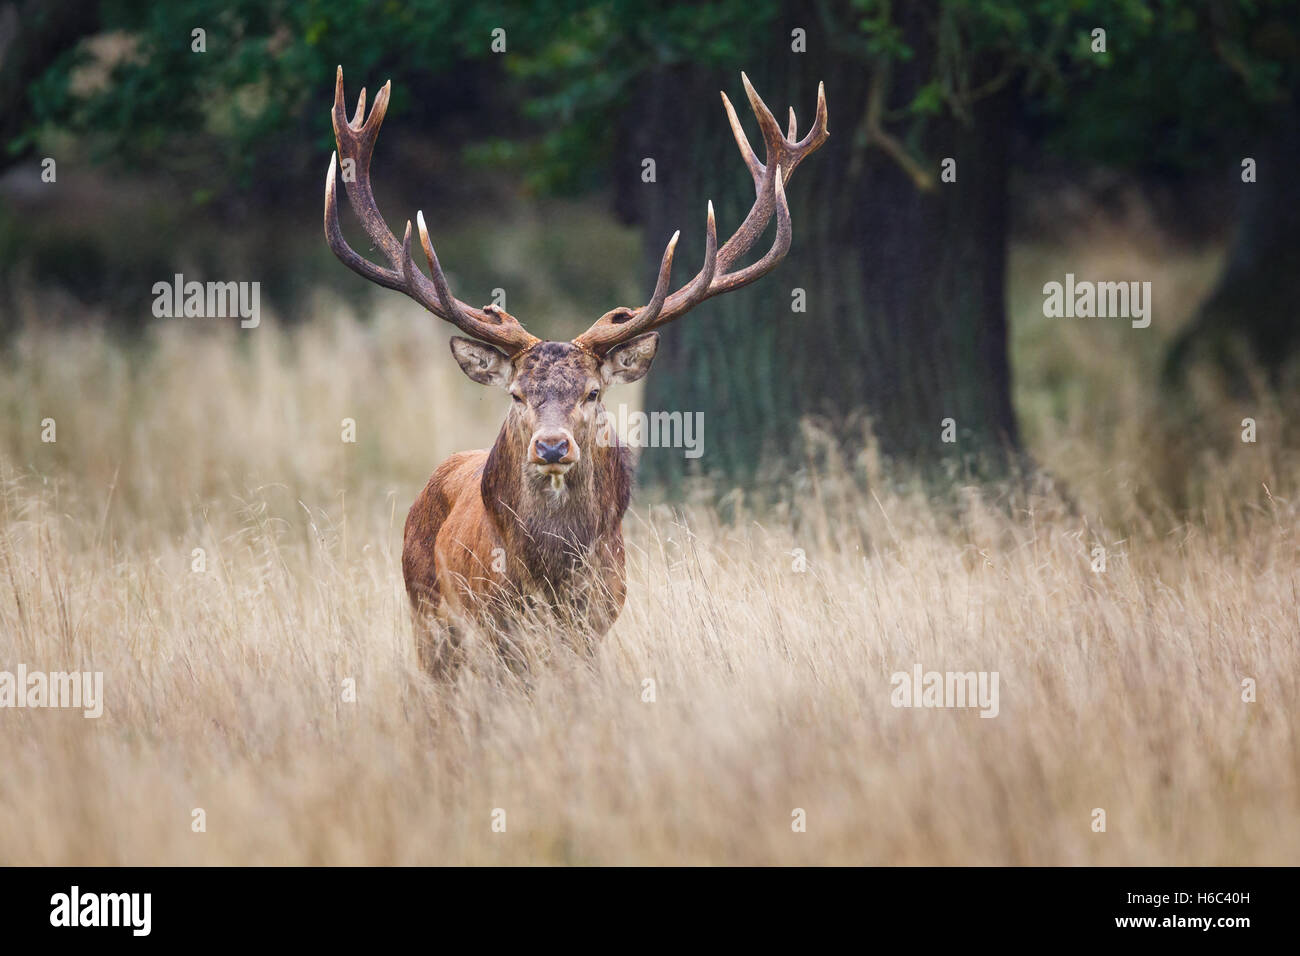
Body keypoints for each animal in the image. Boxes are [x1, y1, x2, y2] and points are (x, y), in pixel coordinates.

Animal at [323, 66, 828, 674]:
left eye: (592, 393)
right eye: (516, 394)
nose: (552, 446)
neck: (550, 576)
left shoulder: (595, 623)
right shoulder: (497, 628)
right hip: (427, 612)